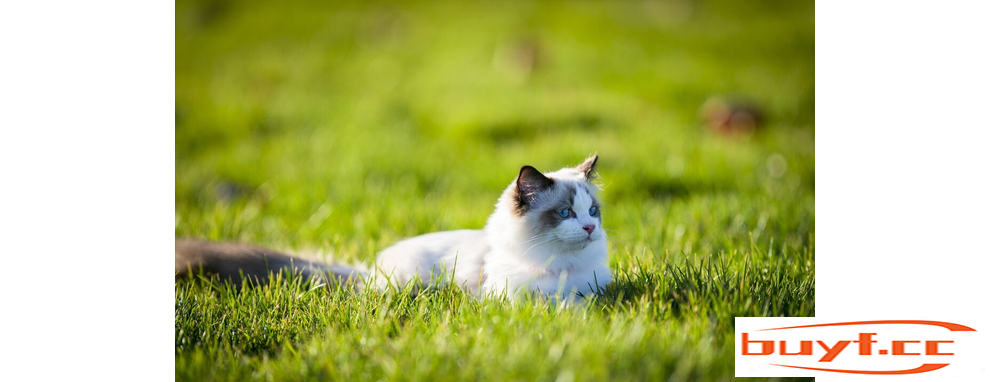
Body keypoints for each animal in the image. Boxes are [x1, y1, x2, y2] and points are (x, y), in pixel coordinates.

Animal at [178, 155, 612, 302]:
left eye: (592, 210)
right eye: (565, 214)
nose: (591, 227)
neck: (563, 269)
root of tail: (371, 269)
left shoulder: (591, 290)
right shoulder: (507, 298)